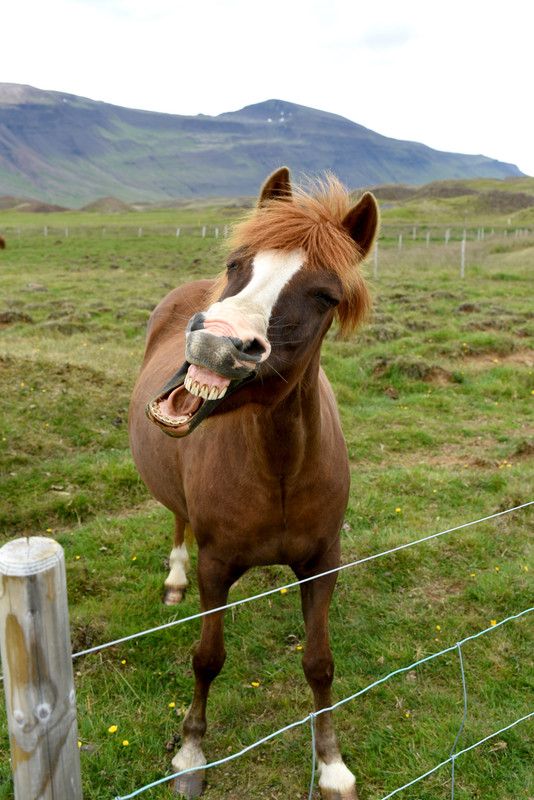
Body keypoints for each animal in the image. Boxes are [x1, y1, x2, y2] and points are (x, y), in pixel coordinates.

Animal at [130, 166, 378, 796]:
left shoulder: (323, 563)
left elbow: (319, 662)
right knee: (177, 518)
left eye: (325, 295)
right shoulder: (217, 566)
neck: (280, 462)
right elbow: (206, 658)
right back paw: (173, 580)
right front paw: (190, 754)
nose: (216, 340)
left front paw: (331, 764)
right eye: (238, 263)